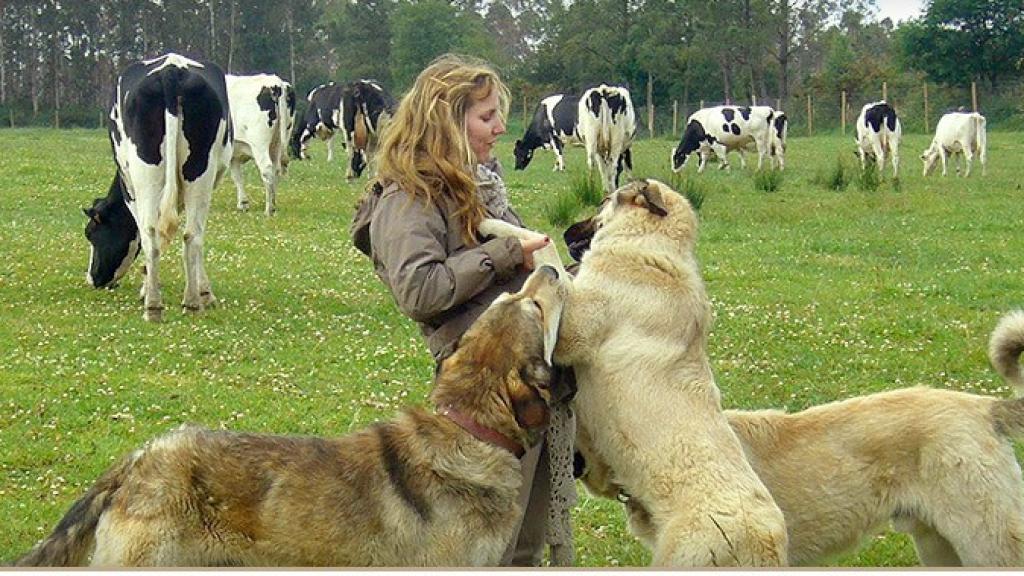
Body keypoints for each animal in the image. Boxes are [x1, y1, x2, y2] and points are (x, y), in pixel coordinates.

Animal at [83, 52, 232, 323]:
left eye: (91, 233)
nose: (92, 279)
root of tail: (171, 70)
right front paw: (204, 293)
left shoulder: (130, 191)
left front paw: (145, 288)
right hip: (199, 172)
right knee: (192, 235)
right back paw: (191, 302)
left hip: (145, 176)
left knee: (151, 234)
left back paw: (153, 305)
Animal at [227, 72, 296, 214]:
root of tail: (276, 83)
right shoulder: (234, 154)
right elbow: (237, 176)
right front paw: (243, 204)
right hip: (278, 142)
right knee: (276, 169)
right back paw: (273, 205)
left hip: (260, 144)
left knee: (267, 168)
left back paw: (268, 209)